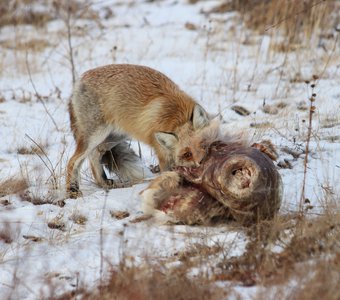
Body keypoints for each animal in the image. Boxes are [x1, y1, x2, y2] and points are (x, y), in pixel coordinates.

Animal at [65, 64, 211, 198]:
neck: (178, 117)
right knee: (73, 161)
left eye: (203, 145)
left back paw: (103, 182)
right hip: (96, 136)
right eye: (187, 154)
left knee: (95, 155)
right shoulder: (163, 156)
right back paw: (72, 190)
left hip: (114, 137)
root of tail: (80, 79)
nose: (202, 163)